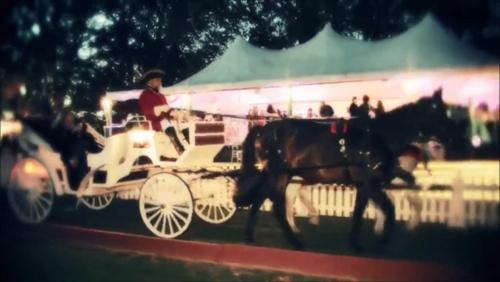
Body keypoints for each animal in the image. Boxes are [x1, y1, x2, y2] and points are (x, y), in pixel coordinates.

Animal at [233, 89, 450, 250]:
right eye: (440, 113)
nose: (449, 138)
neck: (375, 138)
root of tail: (263, 129)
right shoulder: (371, 183)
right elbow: (388, 208)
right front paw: (383, 239)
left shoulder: (366, 185)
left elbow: (359, 211)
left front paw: (356, 243)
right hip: (279, 174)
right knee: (277, 205)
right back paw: (295, 241)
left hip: (281, 175)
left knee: (262, 198)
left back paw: (251, 235)